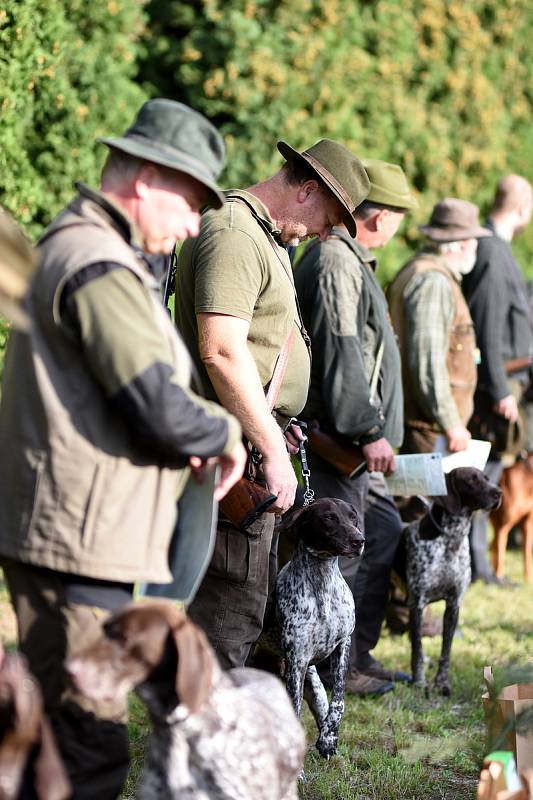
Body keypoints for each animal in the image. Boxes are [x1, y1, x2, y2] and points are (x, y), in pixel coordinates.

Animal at [406, 466, 500, 696]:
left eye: (486, 478)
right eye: (471, 480)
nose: (499, 493)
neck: (452, 539)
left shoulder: (453, 605)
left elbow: (445, 651)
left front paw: (442, 683)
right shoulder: (417, 604)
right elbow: (417, 648)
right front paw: (419, 682)